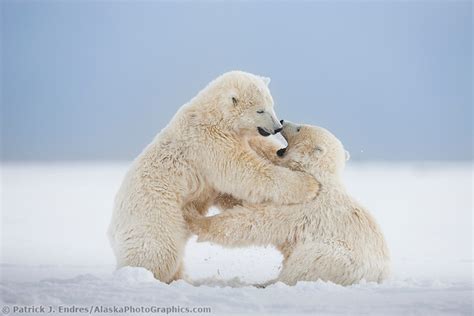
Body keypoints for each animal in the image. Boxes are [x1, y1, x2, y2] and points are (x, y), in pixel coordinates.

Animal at [187, 121, 390, 286]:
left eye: (299, 127)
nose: (283, 122)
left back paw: (268, 282)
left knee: (305, 263)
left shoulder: (303, 206)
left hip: (334, 258)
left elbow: (255, 220)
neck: (318, 176)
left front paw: (194, 218)